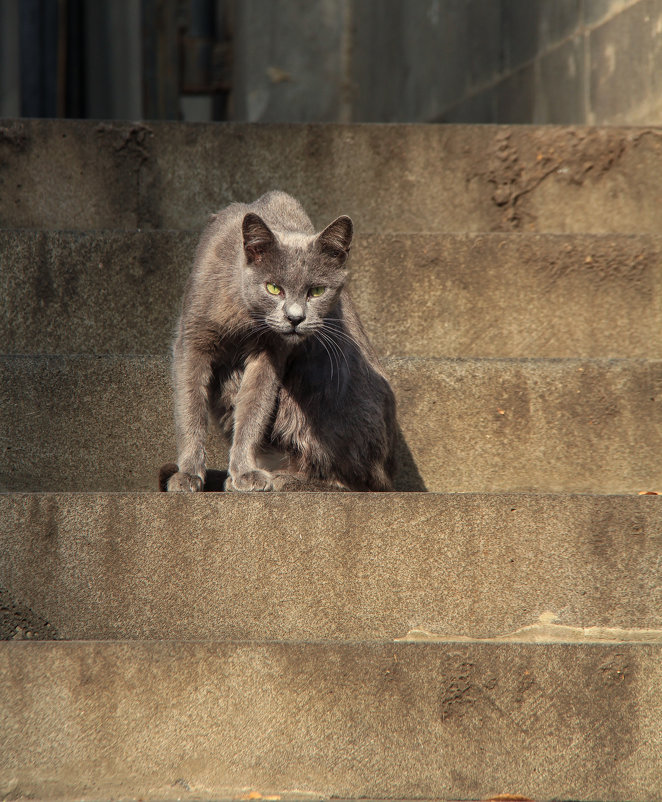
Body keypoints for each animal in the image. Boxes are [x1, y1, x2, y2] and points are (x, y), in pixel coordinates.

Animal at [166, 191, 396, 490]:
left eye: (317, 291)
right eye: (273, 288)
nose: (295, 318)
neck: (246, 318)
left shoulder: (270, 353)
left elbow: (254, 409)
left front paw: (245, 473)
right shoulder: (192, 341)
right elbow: (190, 408)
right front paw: (188, 474)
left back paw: (285, 479)